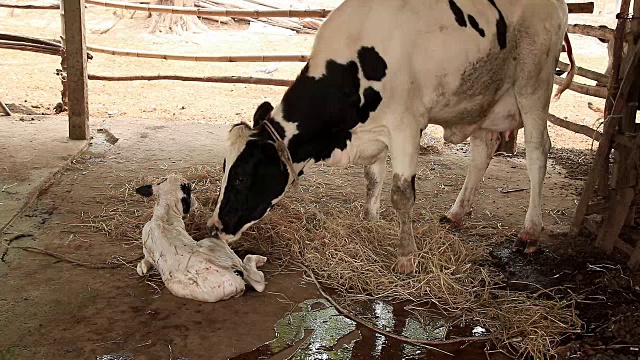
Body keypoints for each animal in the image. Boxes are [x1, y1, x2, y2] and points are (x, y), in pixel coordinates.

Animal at [209, 0, 576, 274]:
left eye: (241, 177)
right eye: (225, 169)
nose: (214, 226)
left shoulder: (405, 127)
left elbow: (401, 195)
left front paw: (406, 256)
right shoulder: (374, 134)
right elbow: (372, 180)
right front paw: (370, 223)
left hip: (532, 84)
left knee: (538, 152)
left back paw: (530, 232)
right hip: (482, 96)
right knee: (484, 149)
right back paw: (457, 213)